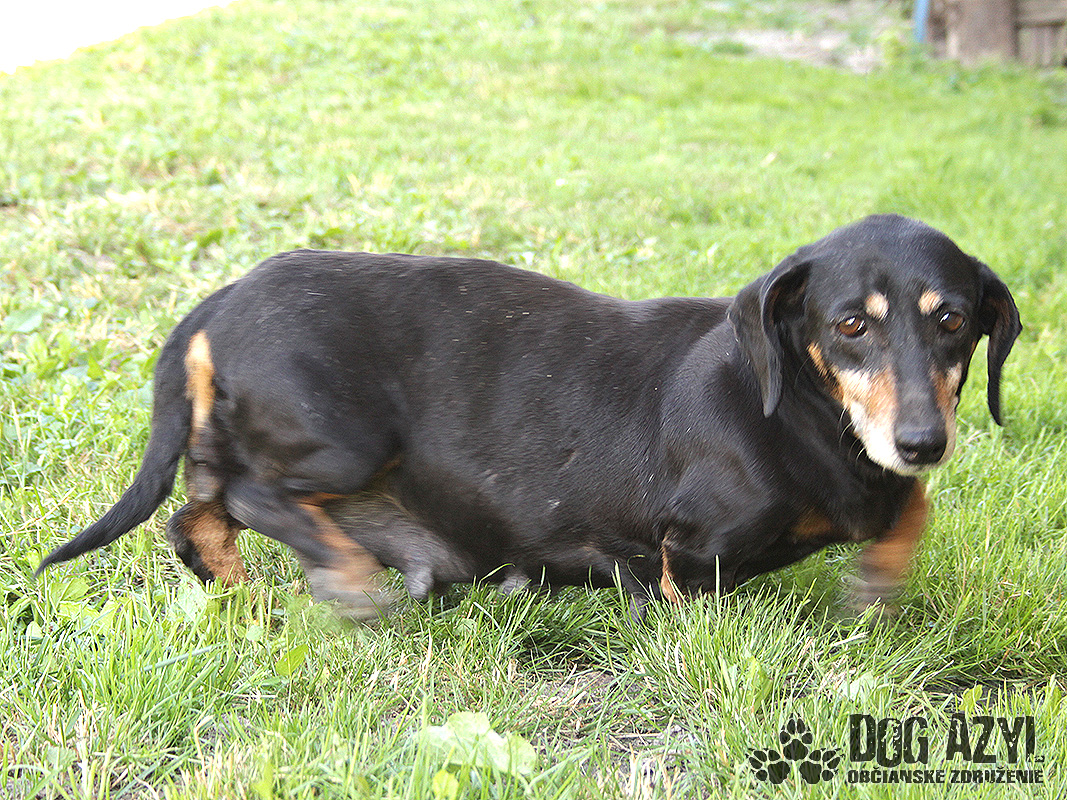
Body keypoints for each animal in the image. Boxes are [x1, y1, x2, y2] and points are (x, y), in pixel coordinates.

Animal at [37, 215, 1021, 619]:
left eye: (953, 321)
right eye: (849, 325)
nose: (921, 441)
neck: (800, 416)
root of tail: (223, 298)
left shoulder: (887, 482)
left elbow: (909, 509)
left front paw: (879, 580)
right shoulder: (691, 553)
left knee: (196, 513)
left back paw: (242, 591)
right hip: (343, 441)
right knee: (250, 496)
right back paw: (343, 574)